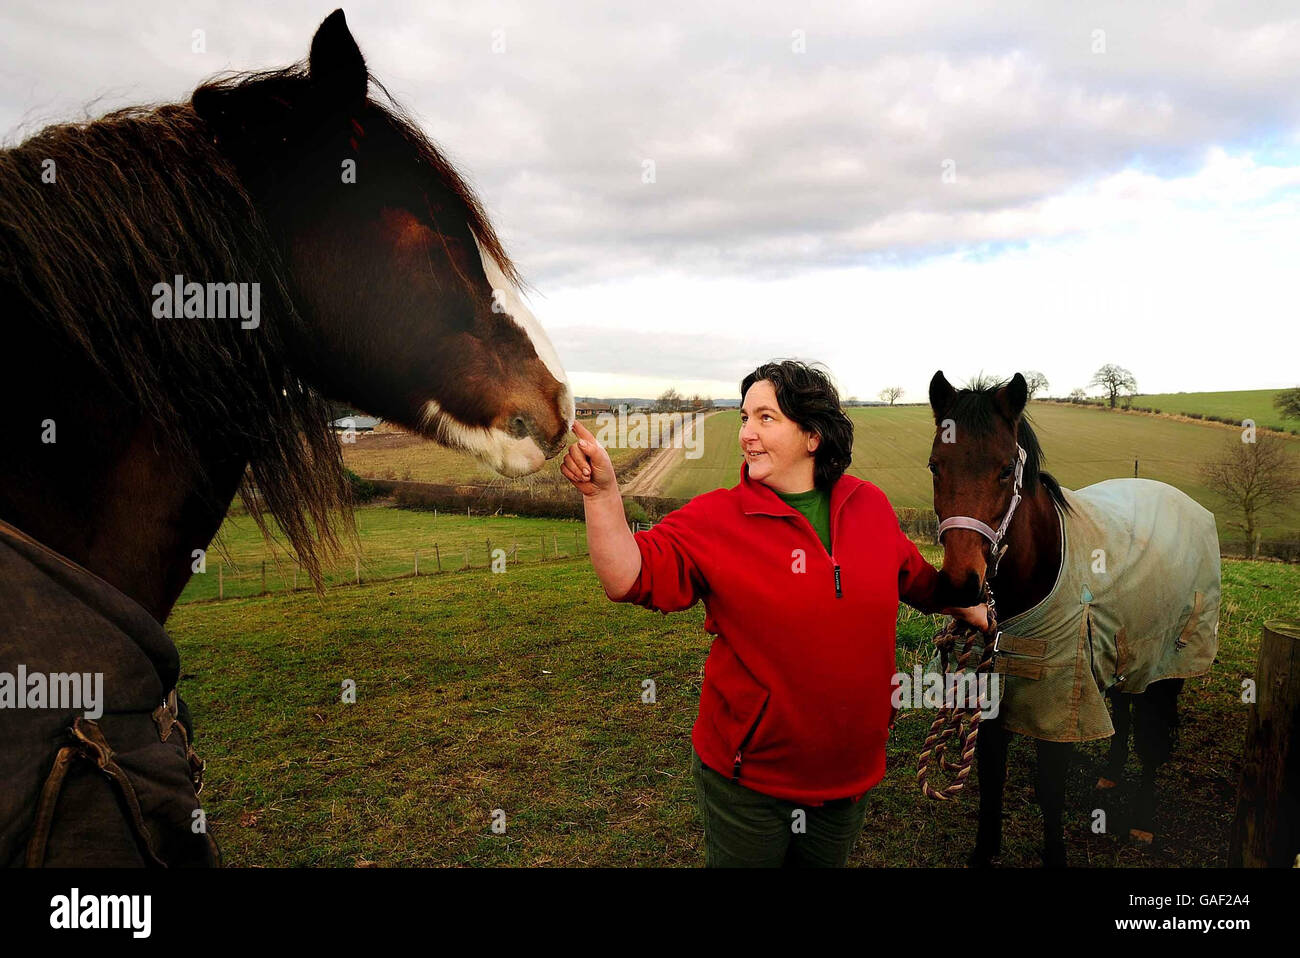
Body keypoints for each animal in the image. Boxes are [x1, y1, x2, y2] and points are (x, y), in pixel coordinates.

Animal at [926, 371, 1219, 867]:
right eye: (934, 465)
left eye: (1006, 468)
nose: (962, 583)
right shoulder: (994, 692)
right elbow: (990, 777)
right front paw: (984, 854)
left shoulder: (1060, 699)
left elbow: (1051, 786)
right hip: (1126, 651)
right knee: (1124, 708)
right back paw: (1110, 776)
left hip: (1168, 664)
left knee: (1152, 737)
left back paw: (1143, 821)